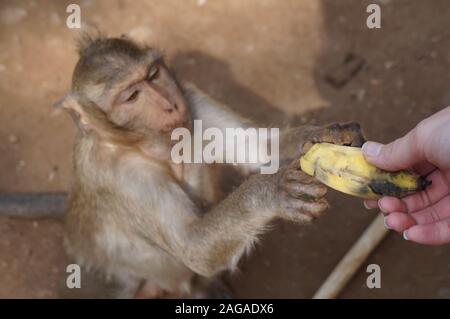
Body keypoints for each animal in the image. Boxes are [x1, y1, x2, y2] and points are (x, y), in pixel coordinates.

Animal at [2, 36, 366, 298]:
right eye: (131, 96)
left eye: (153, 75)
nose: (169, 104)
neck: (144, 144)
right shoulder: (126, 177)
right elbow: (193, 248)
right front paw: (271, 192)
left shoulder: (192, 97)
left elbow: (261, 149)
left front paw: (326, 135)